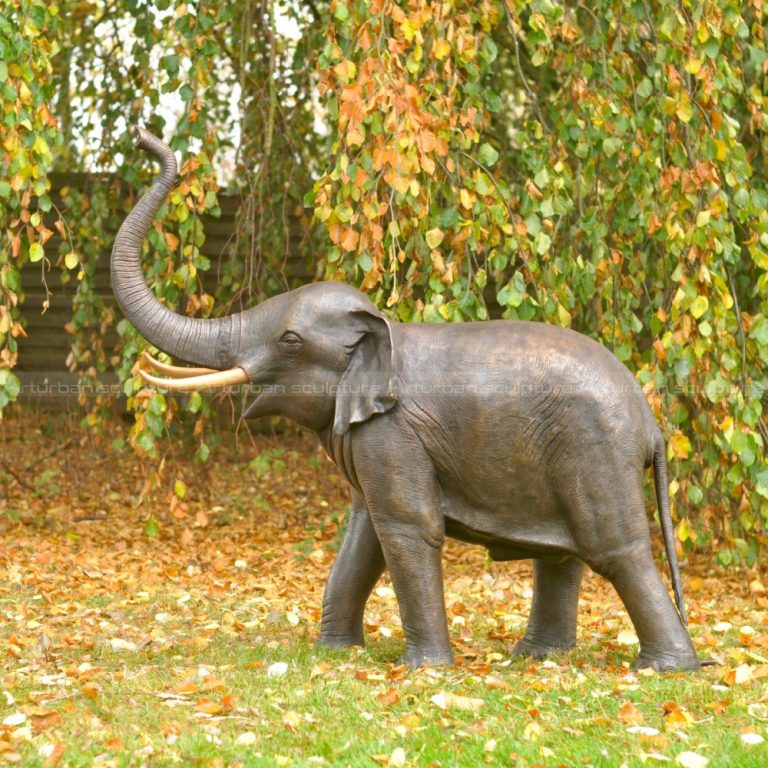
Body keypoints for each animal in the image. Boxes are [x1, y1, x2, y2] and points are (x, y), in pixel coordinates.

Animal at [111, 128, 700, 672]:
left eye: (290, 341)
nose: (144, 137)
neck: (384, 329)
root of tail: (651, 424)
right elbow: (364, 532)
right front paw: (335, 654)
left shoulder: (392, 432)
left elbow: (406, 524)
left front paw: (424, 670)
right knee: (562, 555)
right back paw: (536, 658)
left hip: (595, 451)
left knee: (615, 550)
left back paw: (663, 669)